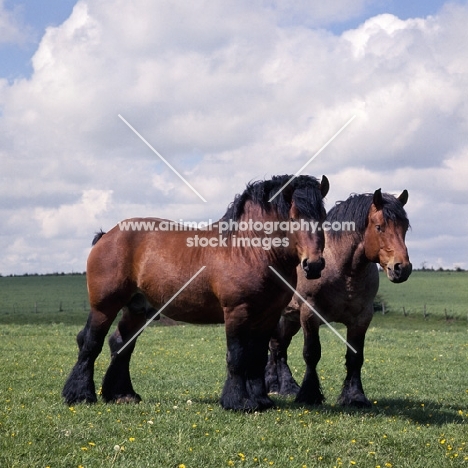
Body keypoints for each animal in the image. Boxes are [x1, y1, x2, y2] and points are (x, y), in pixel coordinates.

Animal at [63, 174, 330, 412]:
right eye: (293, 218)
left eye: (324, 218)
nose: (314, 265)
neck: (248, 249)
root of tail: (107, 235)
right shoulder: (237, 312)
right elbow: (237, 356)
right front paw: (238, 402)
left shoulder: (269, 315)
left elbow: (256, 358)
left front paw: (261, 400)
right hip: (104, 306)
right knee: (90, 343)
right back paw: (79, 395)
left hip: (138, 309)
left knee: (121, 344)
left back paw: (122, 394)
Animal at [266, 188, 412, 408]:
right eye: (379, 227)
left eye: (405, 227)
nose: (401, 268)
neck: (342, 269)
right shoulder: (309, 313)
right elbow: (312, 353)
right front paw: (309, 395)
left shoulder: (362, 318)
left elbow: (355, 357)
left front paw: (355, 397)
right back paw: (274, 385)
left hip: (291, 318)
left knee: (279, 346)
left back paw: (285, 387)